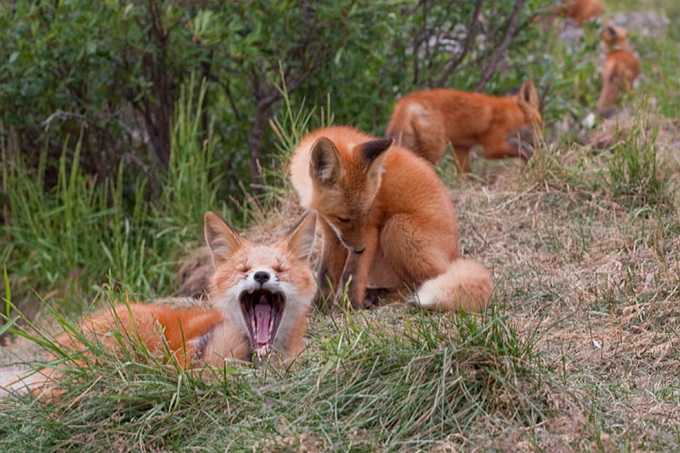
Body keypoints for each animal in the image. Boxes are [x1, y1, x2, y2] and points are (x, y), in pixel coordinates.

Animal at [290, 125, 492, 312]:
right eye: (343, 219)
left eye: (366, 213)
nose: (360, 248)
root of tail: (453, 259)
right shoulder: (330, 230)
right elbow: (326, 275)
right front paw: (318, 308)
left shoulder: (370, 227)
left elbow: (353, 273)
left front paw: (347, 307)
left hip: (396, 228)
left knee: (418, 283)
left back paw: (382, 297)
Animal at [388, 79, 540, 171]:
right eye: (539, 124)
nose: (540, 144)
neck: (511, 115)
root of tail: (406, 101)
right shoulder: (492, 147)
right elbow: (522, 150)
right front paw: (532, 160)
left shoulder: (462, 147)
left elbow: (465, 174)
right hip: (435, 149)